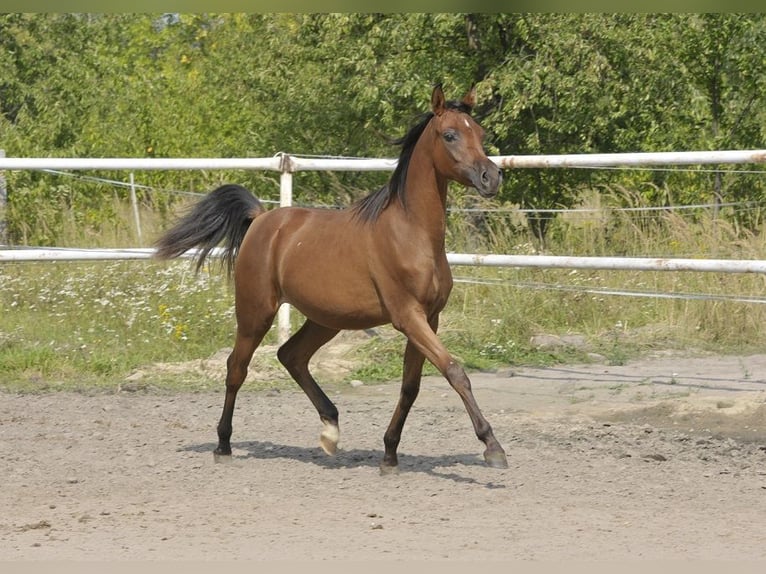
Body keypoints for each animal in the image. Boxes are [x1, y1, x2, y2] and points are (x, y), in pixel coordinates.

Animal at [154, 84, 508, 474]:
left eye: (480, 134)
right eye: (450, 135)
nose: (491, 178)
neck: (411, 233)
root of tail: (261, 219)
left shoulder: (430, 318)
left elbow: (410, 387)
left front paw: (389, 454)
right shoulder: (408, 317)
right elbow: (454, 371)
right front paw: (493, 447)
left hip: (326, 319)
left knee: (290, 356)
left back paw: (330, 430)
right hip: (255, 311)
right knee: (237, 368)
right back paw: (223, 444)